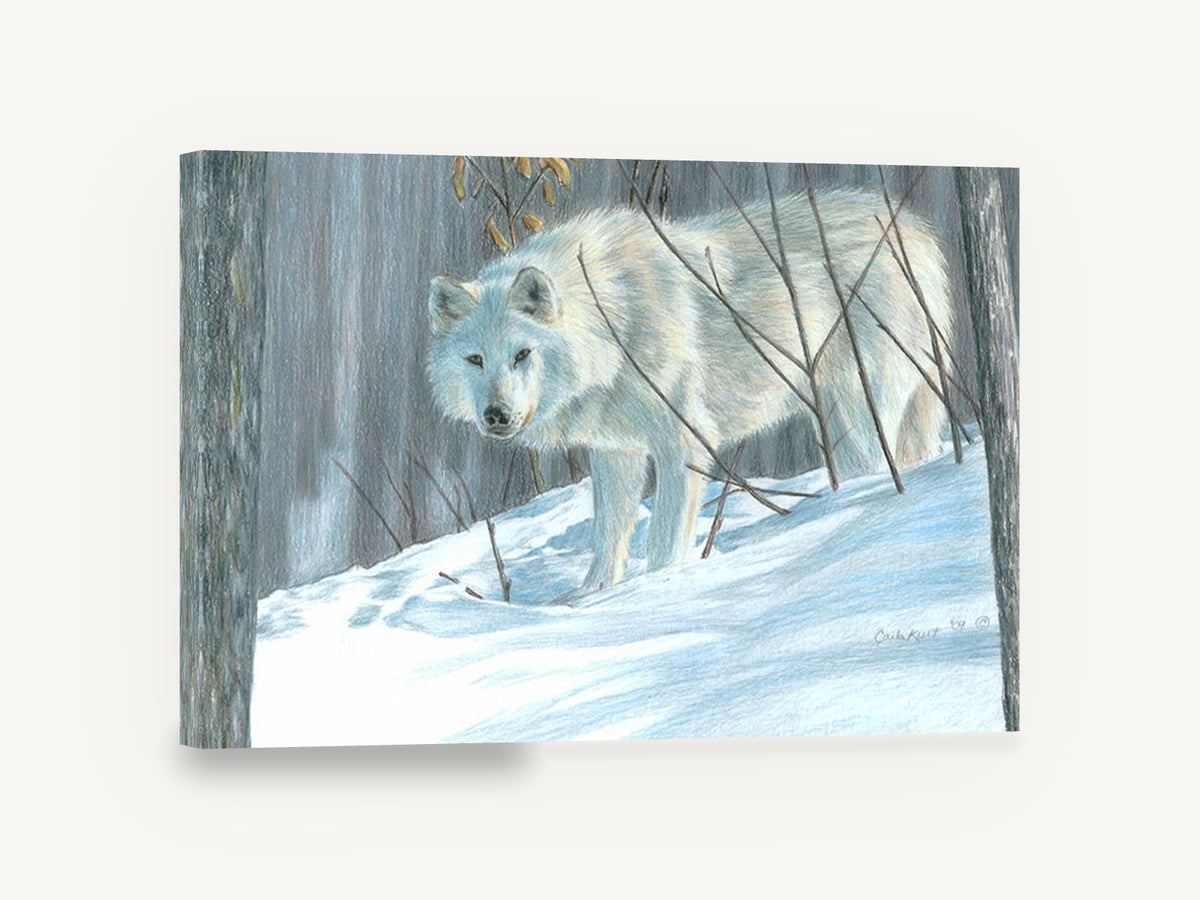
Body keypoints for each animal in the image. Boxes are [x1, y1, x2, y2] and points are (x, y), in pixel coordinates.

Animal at [427, 189, 953, 599]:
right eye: (475, 360)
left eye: (522, 354)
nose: (496, 415)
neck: (615, 321)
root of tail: (914, 228)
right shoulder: (615, 451)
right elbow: (608, 534)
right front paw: (590, 596)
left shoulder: (681, 443)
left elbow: (663, 539)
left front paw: (655, 589)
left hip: (861, 406)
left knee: (876, 466)